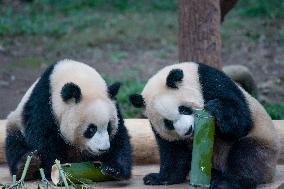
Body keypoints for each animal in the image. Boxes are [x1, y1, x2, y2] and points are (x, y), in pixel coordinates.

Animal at [129, 62, 280, 189]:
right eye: (168, 123)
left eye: (183, 109)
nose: (187, 130)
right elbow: (173, 150)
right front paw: (158, 178)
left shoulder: (211, 82)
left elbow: (241, 122)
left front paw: (217, 107)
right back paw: (214, 176)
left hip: (264, 144)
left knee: (246, 155)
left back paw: (229, 182)